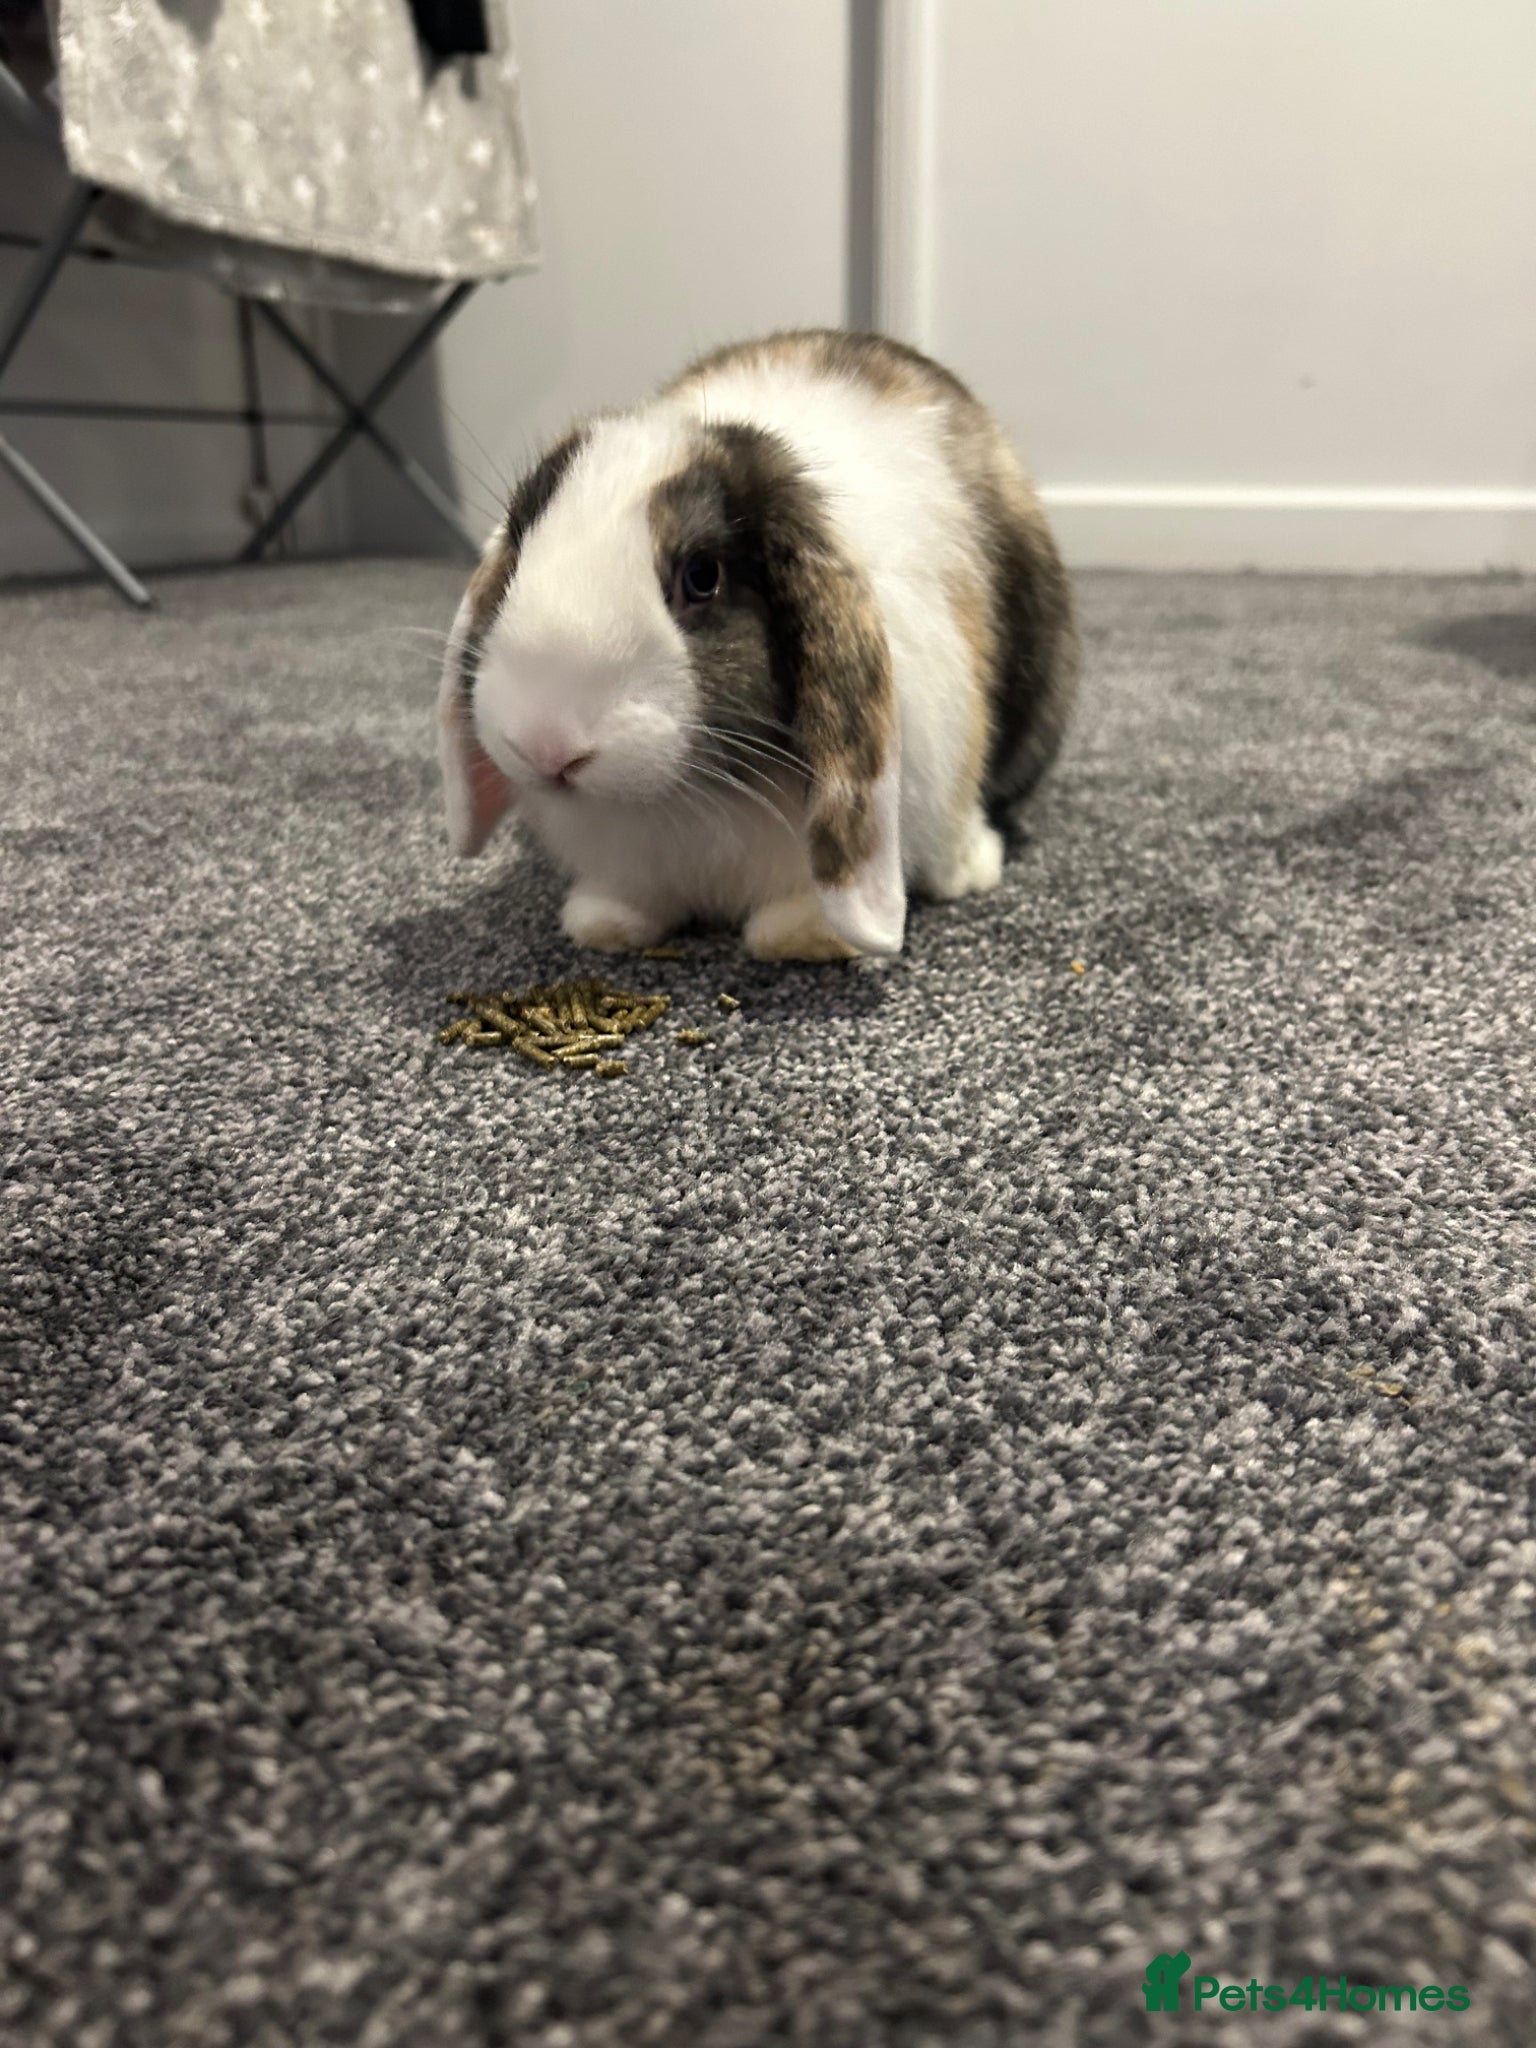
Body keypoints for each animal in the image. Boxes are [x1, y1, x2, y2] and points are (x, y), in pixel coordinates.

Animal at [437, 329, 1078, 960]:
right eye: (519, 545)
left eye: (702, 576)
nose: (545, 746)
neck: (699, 796)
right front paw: (604, 924)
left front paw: (802, 937)